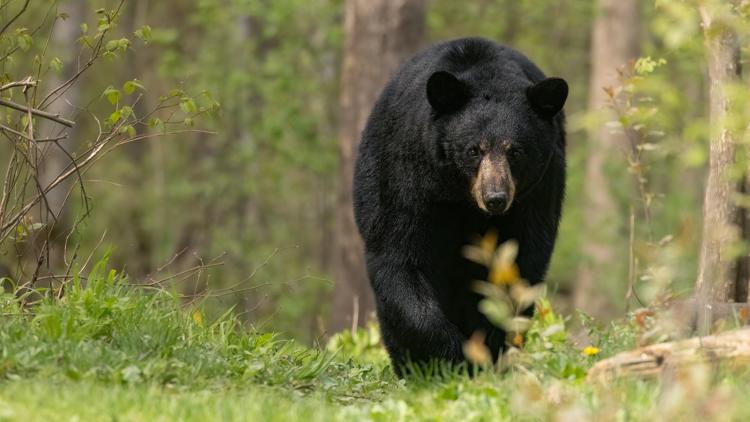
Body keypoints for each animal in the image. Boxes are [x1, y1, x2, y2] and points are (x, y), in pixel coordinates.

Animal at [352, 37, 568, 375]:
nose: (495, 198)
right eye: (473, 150)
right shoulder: (408, 176)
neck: (461, 197)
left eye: (515, 151)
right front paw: (447, 353)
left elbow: (517, 265)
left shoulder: (537, 194)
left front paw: (486, 350)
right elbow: (400, 256)